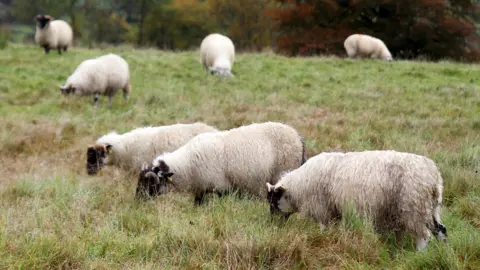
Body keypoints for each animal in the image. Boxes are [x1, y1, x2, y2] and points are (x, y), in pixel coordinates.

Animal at [136, 121, 308, 204]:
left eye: (150, 182)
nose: (137, 200)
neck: (187, 164)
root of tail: (298, 137)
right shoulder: (201, 187)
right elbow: (198, 203)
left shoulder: (220, 186)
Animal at [268, 150, 448, 251]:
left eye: (273, 202)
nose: (273, 225)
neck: (299, 186)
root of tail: (434, 176)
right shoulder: (333, 211)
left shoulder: (322, 209)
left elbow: (323, 228)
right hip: (431, 208)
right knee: (441, 230)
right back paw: (446, 253)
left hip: (413, 207)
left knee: (424, 236)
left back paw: (420, 254)